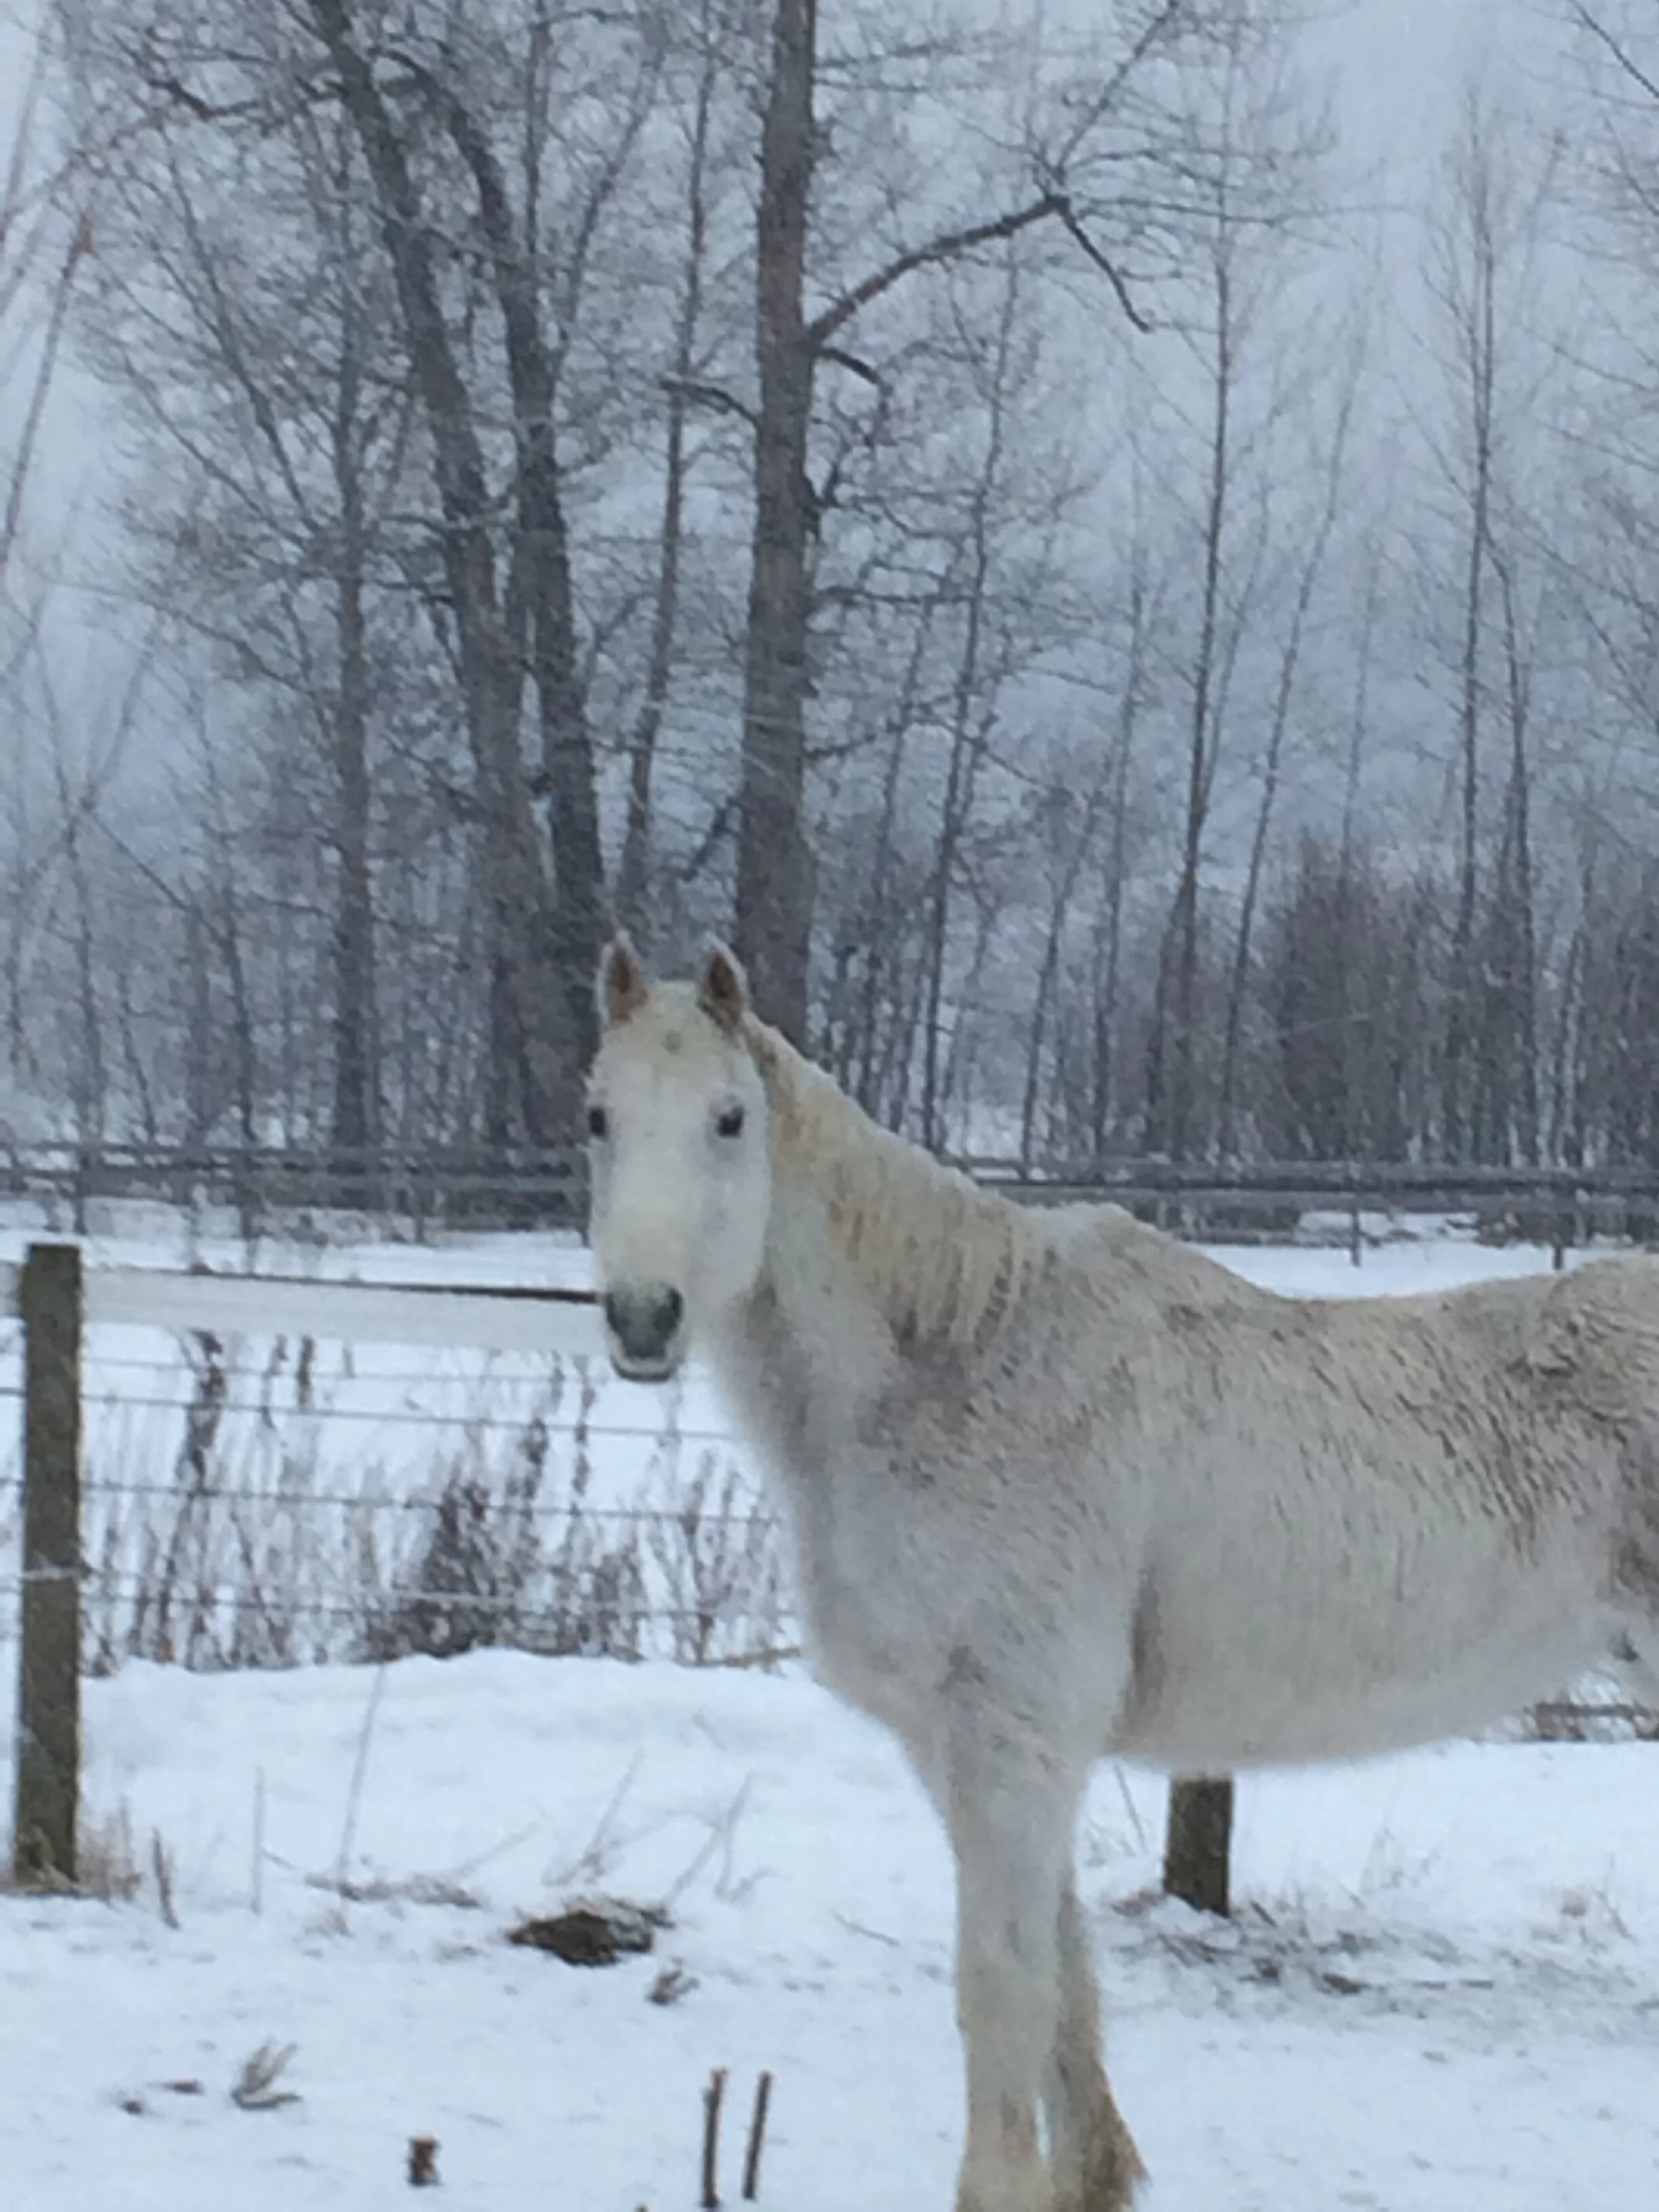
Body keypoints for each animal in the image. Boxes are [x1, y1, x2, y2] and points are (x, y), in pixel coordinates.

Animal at [583, 936, 1659, 2212]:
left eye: (730, 1117)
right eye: (598, 1114)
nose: (642, 1318)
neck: (955, 1367)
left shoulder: (1017, 1732)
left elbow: (1001, 1984)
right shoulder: (973, 1742)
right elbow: (1062, 1977)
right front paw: (1088, 2176)